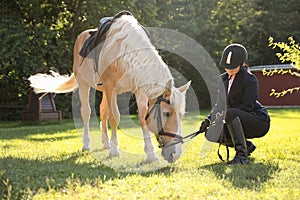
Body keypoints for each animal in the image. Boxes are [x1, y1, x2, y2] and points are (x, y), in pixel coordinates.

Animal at [29, 14, 191, 163]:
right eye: (166, 113)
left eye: (181, 114)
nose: (176, 154)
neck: (125, 53)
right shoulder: (110, 87)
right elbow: (114, 118)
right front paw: (114, 150)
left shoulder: (139, 91)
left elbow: (142, 118)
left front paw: (150, 154)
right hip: (85, 85)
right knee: (86, 112)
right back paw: (87, 145)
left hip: (105, 92)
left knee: (102, 111)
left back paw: (105, 143)